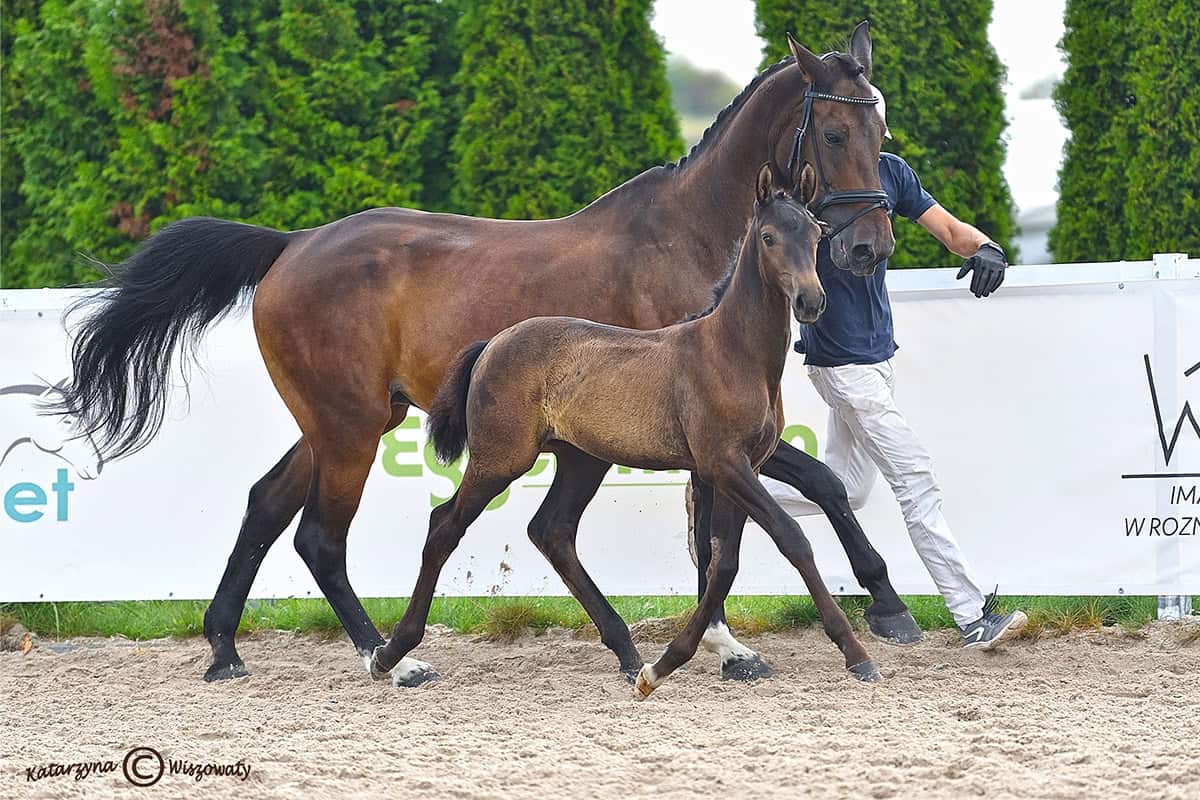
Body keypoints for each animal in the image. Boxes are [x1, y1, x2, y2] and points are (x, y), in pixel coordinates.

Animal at [371, 163, 881, 694]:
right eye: (768, 237)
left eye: (815, 233)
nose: (810, 301)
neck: (731, 353)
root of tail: (493, 343)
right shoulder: (725, 464)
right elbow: (790, 539)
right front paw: (855, 653)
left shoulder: (742, 468)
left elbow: (724, 562)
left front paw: (672, 663)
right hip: (500, 460)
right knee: (443, 527)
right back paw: (392, 654)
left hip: (581, 461)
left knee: (551, 530)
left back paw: (629, 654)